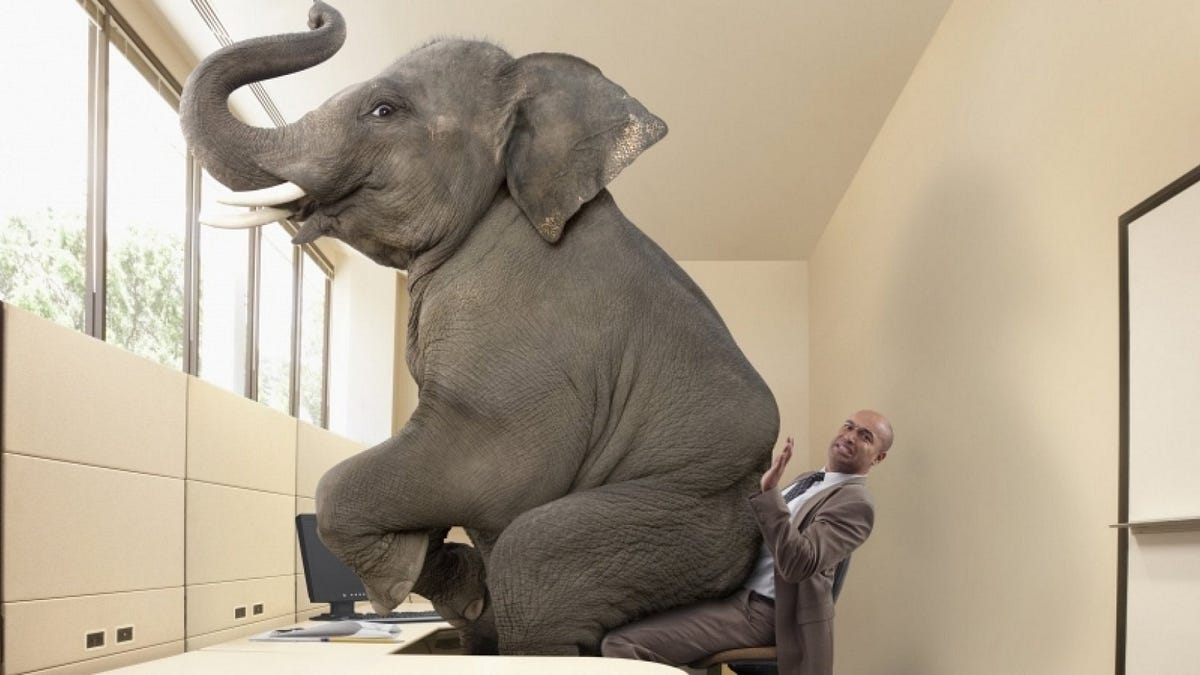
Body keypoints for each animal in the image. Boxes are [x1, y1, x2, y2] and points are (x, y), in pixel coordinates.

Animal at [180, 1, 779, 656]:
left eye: (384, 110)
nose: (316, 14)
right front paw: (454, 583)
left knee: (531, 563)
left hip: (685, 515)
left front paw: (404, 580)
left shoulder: (521, 334)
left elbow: (489, 472)